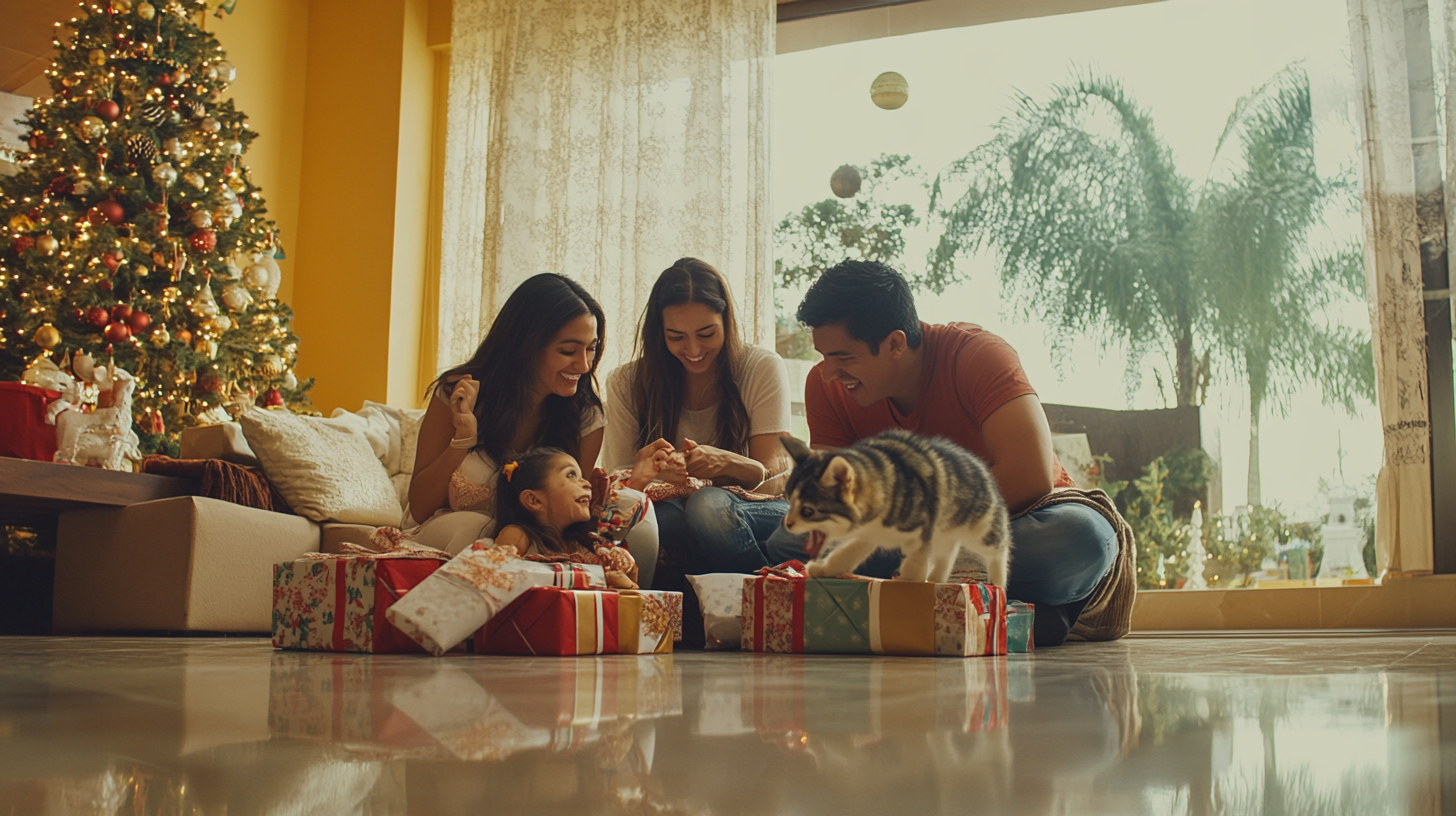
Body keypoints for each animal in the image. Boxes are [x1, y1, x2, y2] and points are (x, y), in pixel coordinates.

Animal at [780, 431, 1007, 582]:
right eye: (789, 500)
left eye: (807, 512)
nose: (787, 523)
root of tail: (978, 463)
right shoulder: (869, 534)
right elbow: (847, 553)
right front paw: (826, 569)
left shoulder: (924, 529)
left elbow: (915, 565)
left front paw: (908, 584)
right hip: (946, 531)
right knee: (948, 551)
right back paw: (936, 578)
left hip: (980, 525)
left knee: (999, 548)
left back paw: (998, 583)